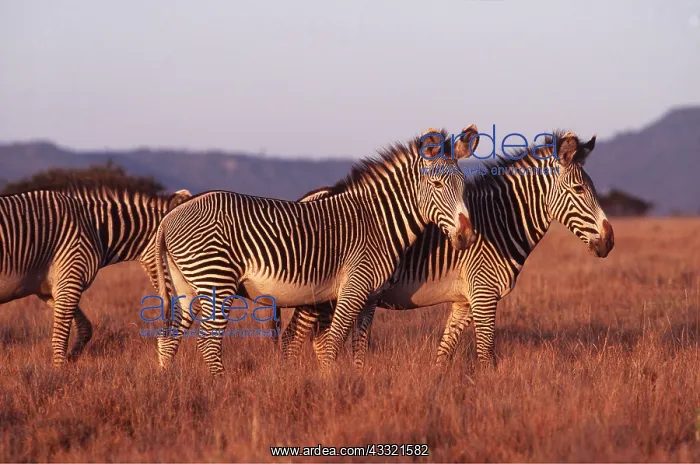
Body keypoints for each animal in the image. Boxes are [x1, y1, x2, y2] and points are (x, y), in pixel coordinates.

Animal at [0, 183, 191, 366]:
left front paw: (71, 359)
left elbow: (85, 328)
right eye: (175, 257)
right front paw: (59, 373)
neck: (96, 230)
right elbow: (60, 339)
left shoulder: (52, 289)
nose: (190, 292)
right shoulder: (71, 278)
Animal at [154, 126, 481, 376]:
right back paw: (219, 387)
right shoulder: (353, 288)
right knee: (208, 342)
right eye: (437, 185)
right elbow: (332, 343)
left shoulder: (370, 296)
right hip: (216, 280)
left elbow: (358, 345)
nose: (466, 235)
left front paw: (356, 381)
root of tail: (170, 217)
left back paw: (168, 386)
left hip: (187, 287)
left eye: (463, 186)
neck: (377, 221)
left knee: (169, 339)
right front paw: (330, 388)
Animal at [281, 130, 615, 368]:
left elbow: (444, 354)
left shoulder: (464, 301)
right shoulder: (484, 294)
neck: (502, 222)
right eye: (579, 190)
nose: (610, 241)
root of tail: (308, 198)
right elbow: (486, 355)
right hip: (321, 293)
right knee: (294, 339)